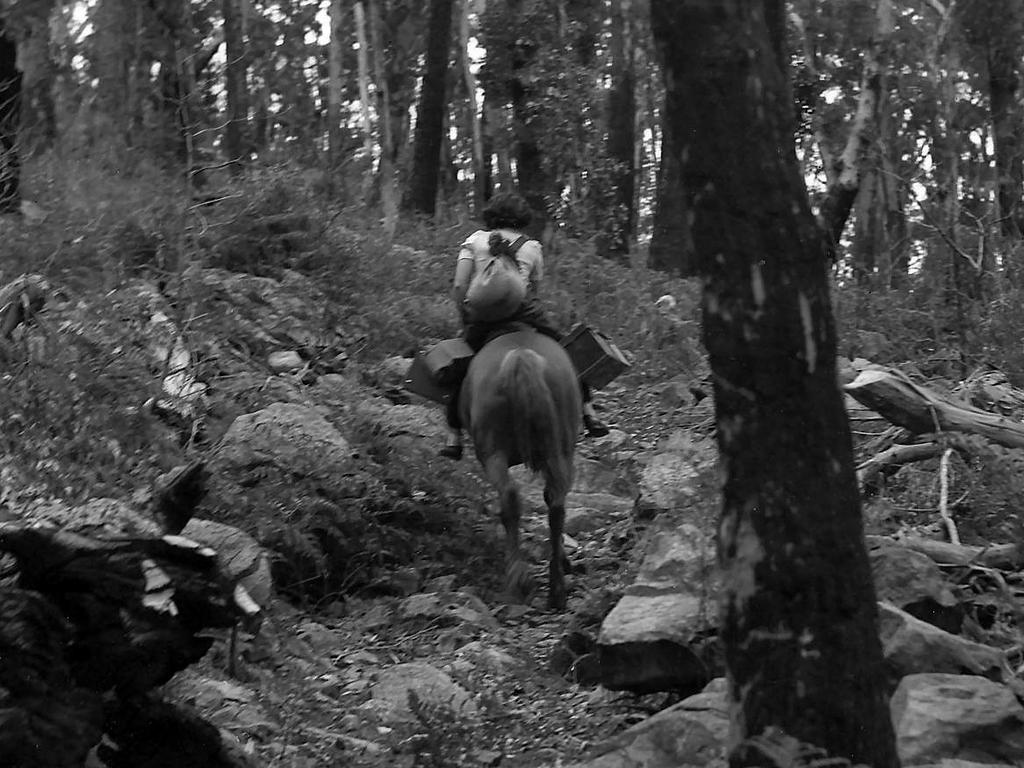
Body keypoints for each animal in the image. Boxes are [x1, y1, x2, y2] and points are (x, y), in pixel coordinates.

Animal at [458, 331, 581, 614]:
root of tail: (521, 356)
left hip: (492, 453)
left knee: (511, 497)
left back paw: (519, 580)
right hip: (559, 451)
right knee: (556, 506)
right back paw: (556, 591)